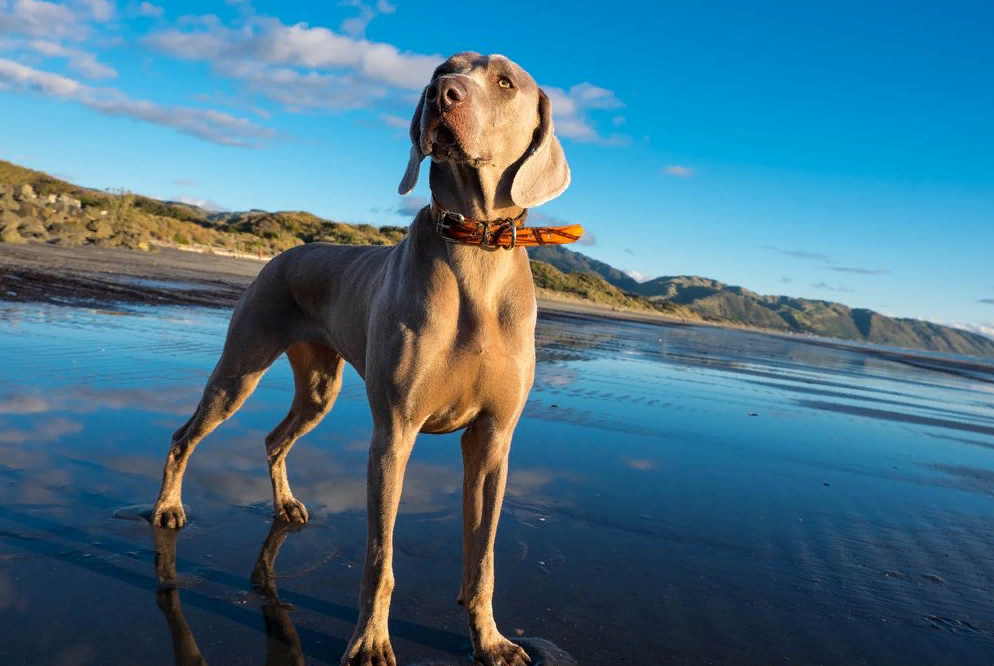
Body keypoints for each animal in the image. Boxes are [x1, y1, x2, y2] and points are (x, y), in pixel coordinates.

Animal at [149, 53, 572, 664]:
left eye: (504, 82)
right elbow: (379, 560)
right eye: (442, 70)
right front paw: (371, 642)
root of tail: (286, 252)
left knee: (274, 438)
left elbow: (484, 557)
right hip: (240, 368)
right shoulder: (394, 432)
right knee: (185, 434)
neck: (475, 250)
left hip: (319, 386)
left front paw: (490, 640)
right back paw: (167, 508)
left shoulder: (493, 439)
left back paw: (286, 505)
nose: (442, 93)